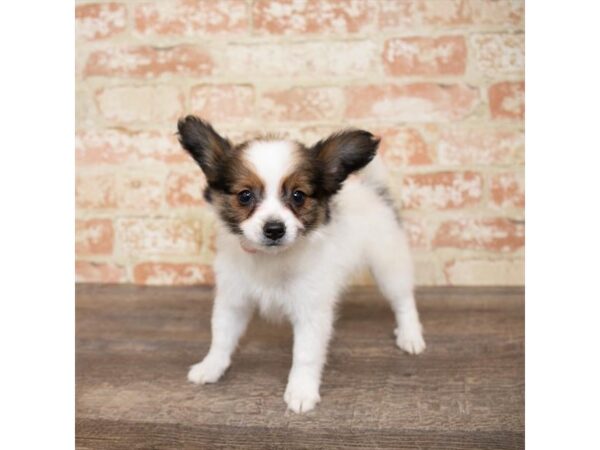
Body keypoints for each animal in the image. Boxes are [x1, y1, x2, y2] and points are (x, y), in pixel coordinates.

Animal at [176, 117, 424, 414]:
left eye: (298, 196)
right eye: (245, 196)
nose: (274, 229)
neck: (271, 259)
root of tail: (374, 192)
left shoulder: (311, 311)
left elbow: (305, 355)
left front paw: (302, 391)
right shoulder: (233, 299)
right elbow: (221, 337)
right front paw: (211, 366)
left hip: (388, 263)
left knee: (403, 300)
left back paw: (410, 335)